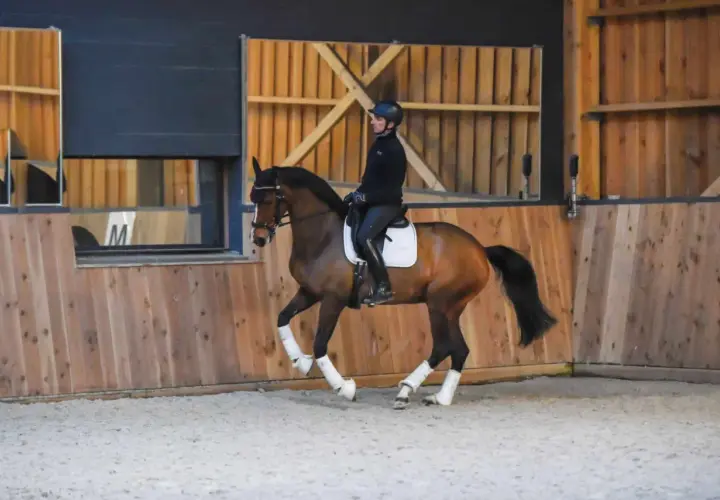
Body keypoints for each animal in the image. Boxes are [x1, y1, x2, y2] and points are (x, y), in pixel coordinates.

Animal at [248, 157, 557, 409]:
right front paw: (299, 361)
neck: (324, 235)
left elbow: (321, 344)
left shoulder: (333, 299)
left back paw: (406, 390)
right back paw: (440, 397)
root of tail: (480, 249)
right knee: (459, 350)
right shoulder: (310, 292)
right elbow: (282, 318)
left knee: (443, 347)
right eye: (253, 198)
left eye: (268, 199)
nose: (259, 239)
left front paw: (344, 388)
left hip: (440, 304)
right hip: (451, 308)